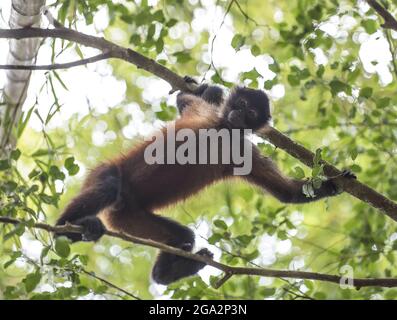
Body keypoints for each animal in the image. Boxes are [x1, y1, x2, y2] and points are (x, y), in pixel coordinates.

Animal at [54, 76, 354, 284]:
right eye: (242, 105)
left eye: (252, 115)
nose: (240, 115)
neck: (222, 130)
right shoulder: (205, 114)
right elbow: (187, 100)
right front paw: (203, 89)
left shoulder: (242, 149)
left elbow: (286, 193)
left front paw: (333, 184)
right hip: (108, 172)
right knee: (108, 185)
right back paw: (64, 229)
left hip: (130, 217)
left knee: (182, 237)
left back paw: (171, 271)